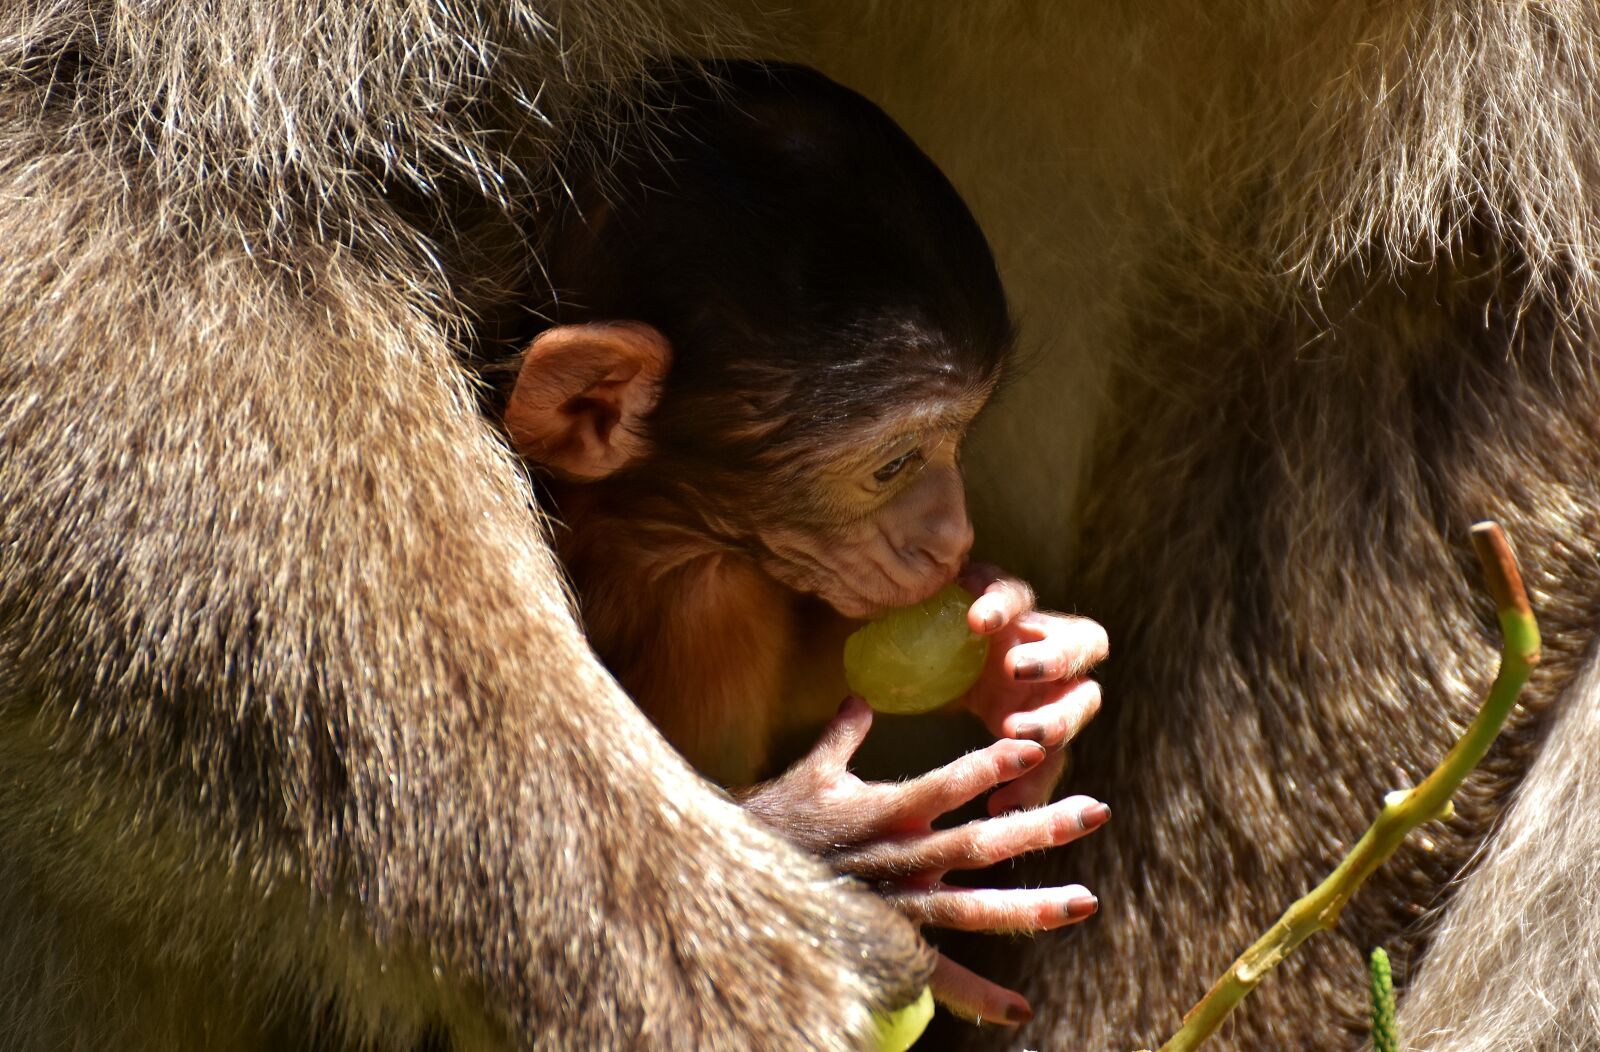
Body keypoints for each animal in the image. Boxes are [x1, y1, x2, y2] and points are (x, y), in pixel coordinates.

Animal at [493, 61, 1112, 1026]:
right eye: (896, 463)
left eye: (962, 437)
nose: (954, 537)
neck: (645, 528)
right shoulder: (704, 589)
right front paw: (847, 855)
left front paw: (1022, 659)